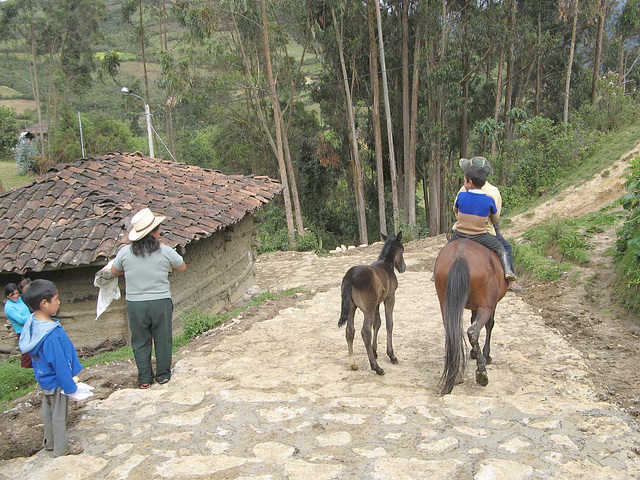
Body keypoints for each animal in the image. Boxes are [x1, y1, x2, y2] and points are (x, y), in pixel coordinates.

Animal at [338, 232, 408, 376]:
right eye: (402, 249)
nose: (403, 268)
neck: (386, 265)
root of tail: (350, 277)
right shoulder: (390, 297)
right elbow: (389, 323)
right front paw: (391, 355)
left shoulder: (377, 303)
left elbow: (377, 323)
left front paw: (374, 351)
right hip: (367, 309)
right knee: (365, 332)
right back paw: (376, 367)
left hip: (352, 308)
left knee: (350, 331)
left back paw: (353, 363)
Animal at [432, 239, 508, 394]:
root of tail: (460, 256)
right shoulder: (491, 304)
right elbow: (489, 324)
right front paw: (486, 355)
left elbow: (472, 319)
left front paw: (474, 352)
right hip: (485, 306)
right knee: (473, 331)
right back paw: (481, 373)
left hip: (446, 304)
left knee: (454, 332)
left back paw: (456, 375)